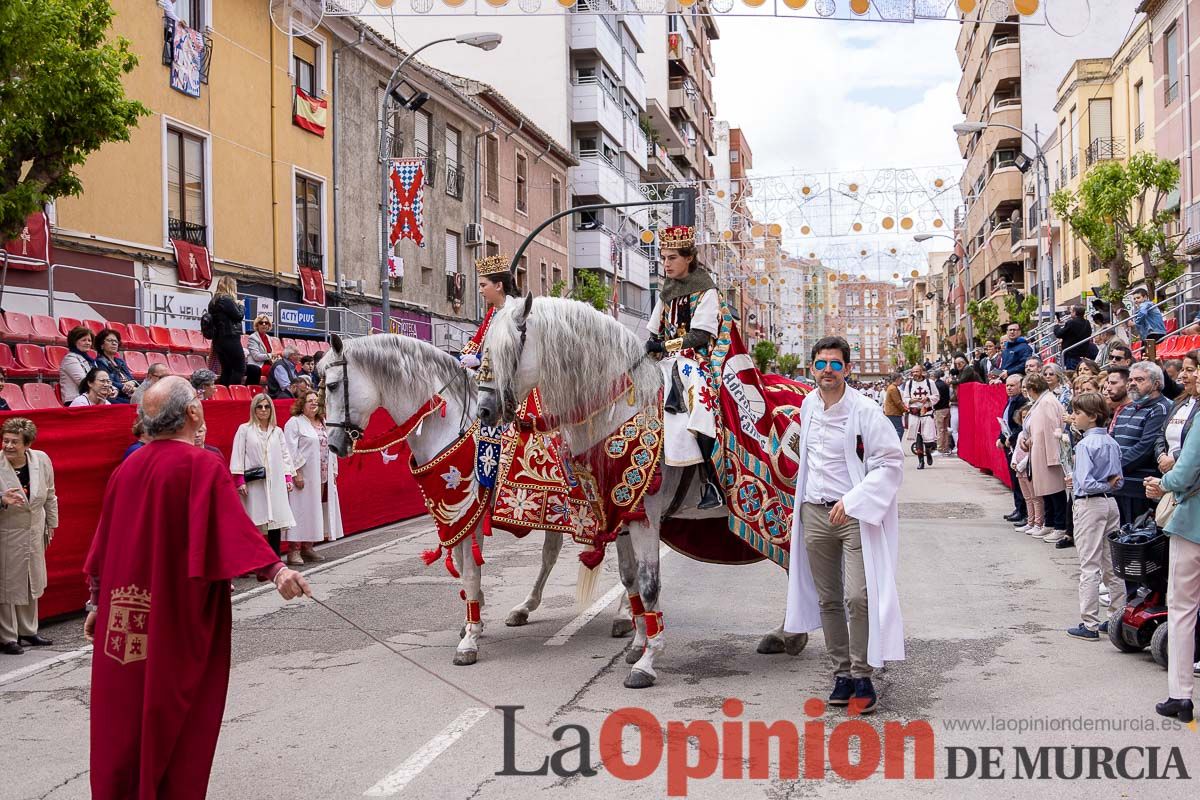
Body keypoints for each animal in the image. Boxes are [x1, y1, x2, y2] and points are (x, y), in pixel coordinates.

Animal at [324, 335, 571, 666]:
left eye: (332, 385)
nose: (334, 445)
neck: (449, 428)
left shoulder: (471, 514)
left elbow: (471, 573)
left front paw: (470, 639)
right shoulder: (454, 517)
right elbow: (462, 568)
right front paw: (473, 620)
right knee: (550, 554)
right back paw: (524, 608)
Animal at [475, 293, 806, 690]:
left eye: (510, 349)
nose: (484, 410)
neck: (618, 409)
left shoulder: (646, 517)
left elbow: (649, 585)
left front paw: (647, 662)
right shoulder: (622, 515)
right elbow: (630, 578)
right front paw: (637, 644)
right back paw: (788, 636)